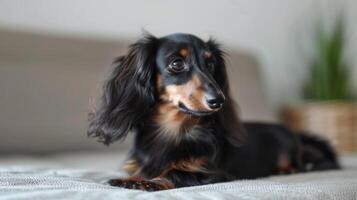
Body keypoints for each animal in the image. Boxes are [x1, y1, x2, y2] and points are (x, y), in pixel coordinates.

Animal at [87, 33, 338, 191]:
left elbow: (175, 172)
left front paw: (149, 182)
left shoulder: (214, 173)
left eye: (210, 64)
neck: (172, 129)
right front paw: (135, 178)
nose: (218, 100)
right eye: (177, 63)